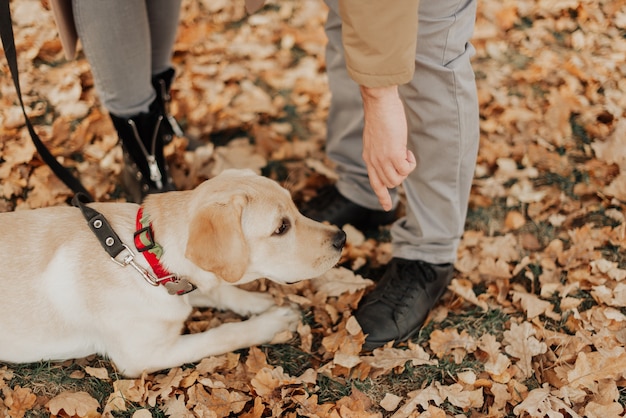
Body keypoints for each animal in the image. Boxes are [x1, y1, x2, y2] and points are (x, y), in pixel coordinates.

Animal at [0, 168, 344, 378]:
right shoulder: (142, 356)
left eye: (295, 208)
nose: (341, 238)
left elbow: (221, 289)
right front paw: (272, 322)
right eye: (281, 228)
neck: (143, 257)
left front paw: (261, 304)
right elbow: (222, 334)